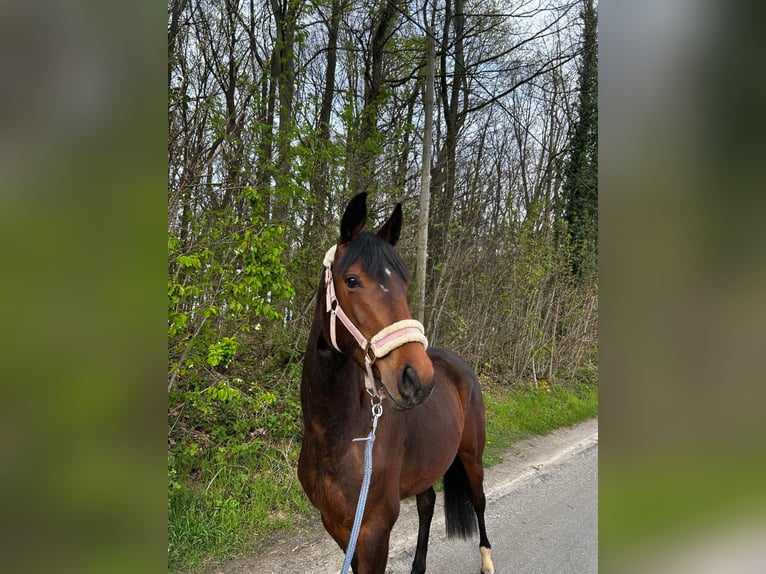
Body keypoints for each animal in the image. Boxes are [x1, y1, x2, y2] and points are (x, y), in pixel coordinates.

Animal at [296, 195, 496, 574]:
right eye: (352, 280)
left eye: (405, 284)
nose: (418, 378)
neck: (338, 434)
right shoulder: (339, 526)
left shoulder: (374, 529)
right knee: (427, 503)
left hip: (471, 455)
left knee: (478, 500)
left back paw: (487, 560)